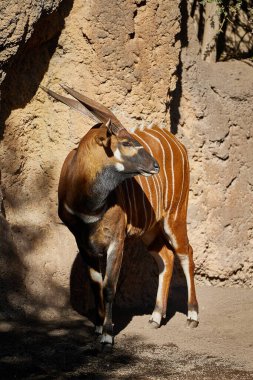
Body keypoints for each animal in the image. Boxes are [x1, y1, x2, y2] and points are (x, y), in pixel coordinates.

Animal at [42, 84, 200, 352]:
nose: (155, 166)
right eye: (126, 142)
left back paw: (192, 316)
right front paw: (97, 328)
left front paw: (107, 335)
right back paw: (156, 317)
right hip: (150, 230)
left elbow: (109, 287)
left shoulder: (116, 240)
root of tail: (178, 143)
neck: (87, 203)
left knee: (185, 252)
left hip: (175, 215)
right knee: (166, 257)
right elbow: (95, 284)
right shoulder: (84, 243)